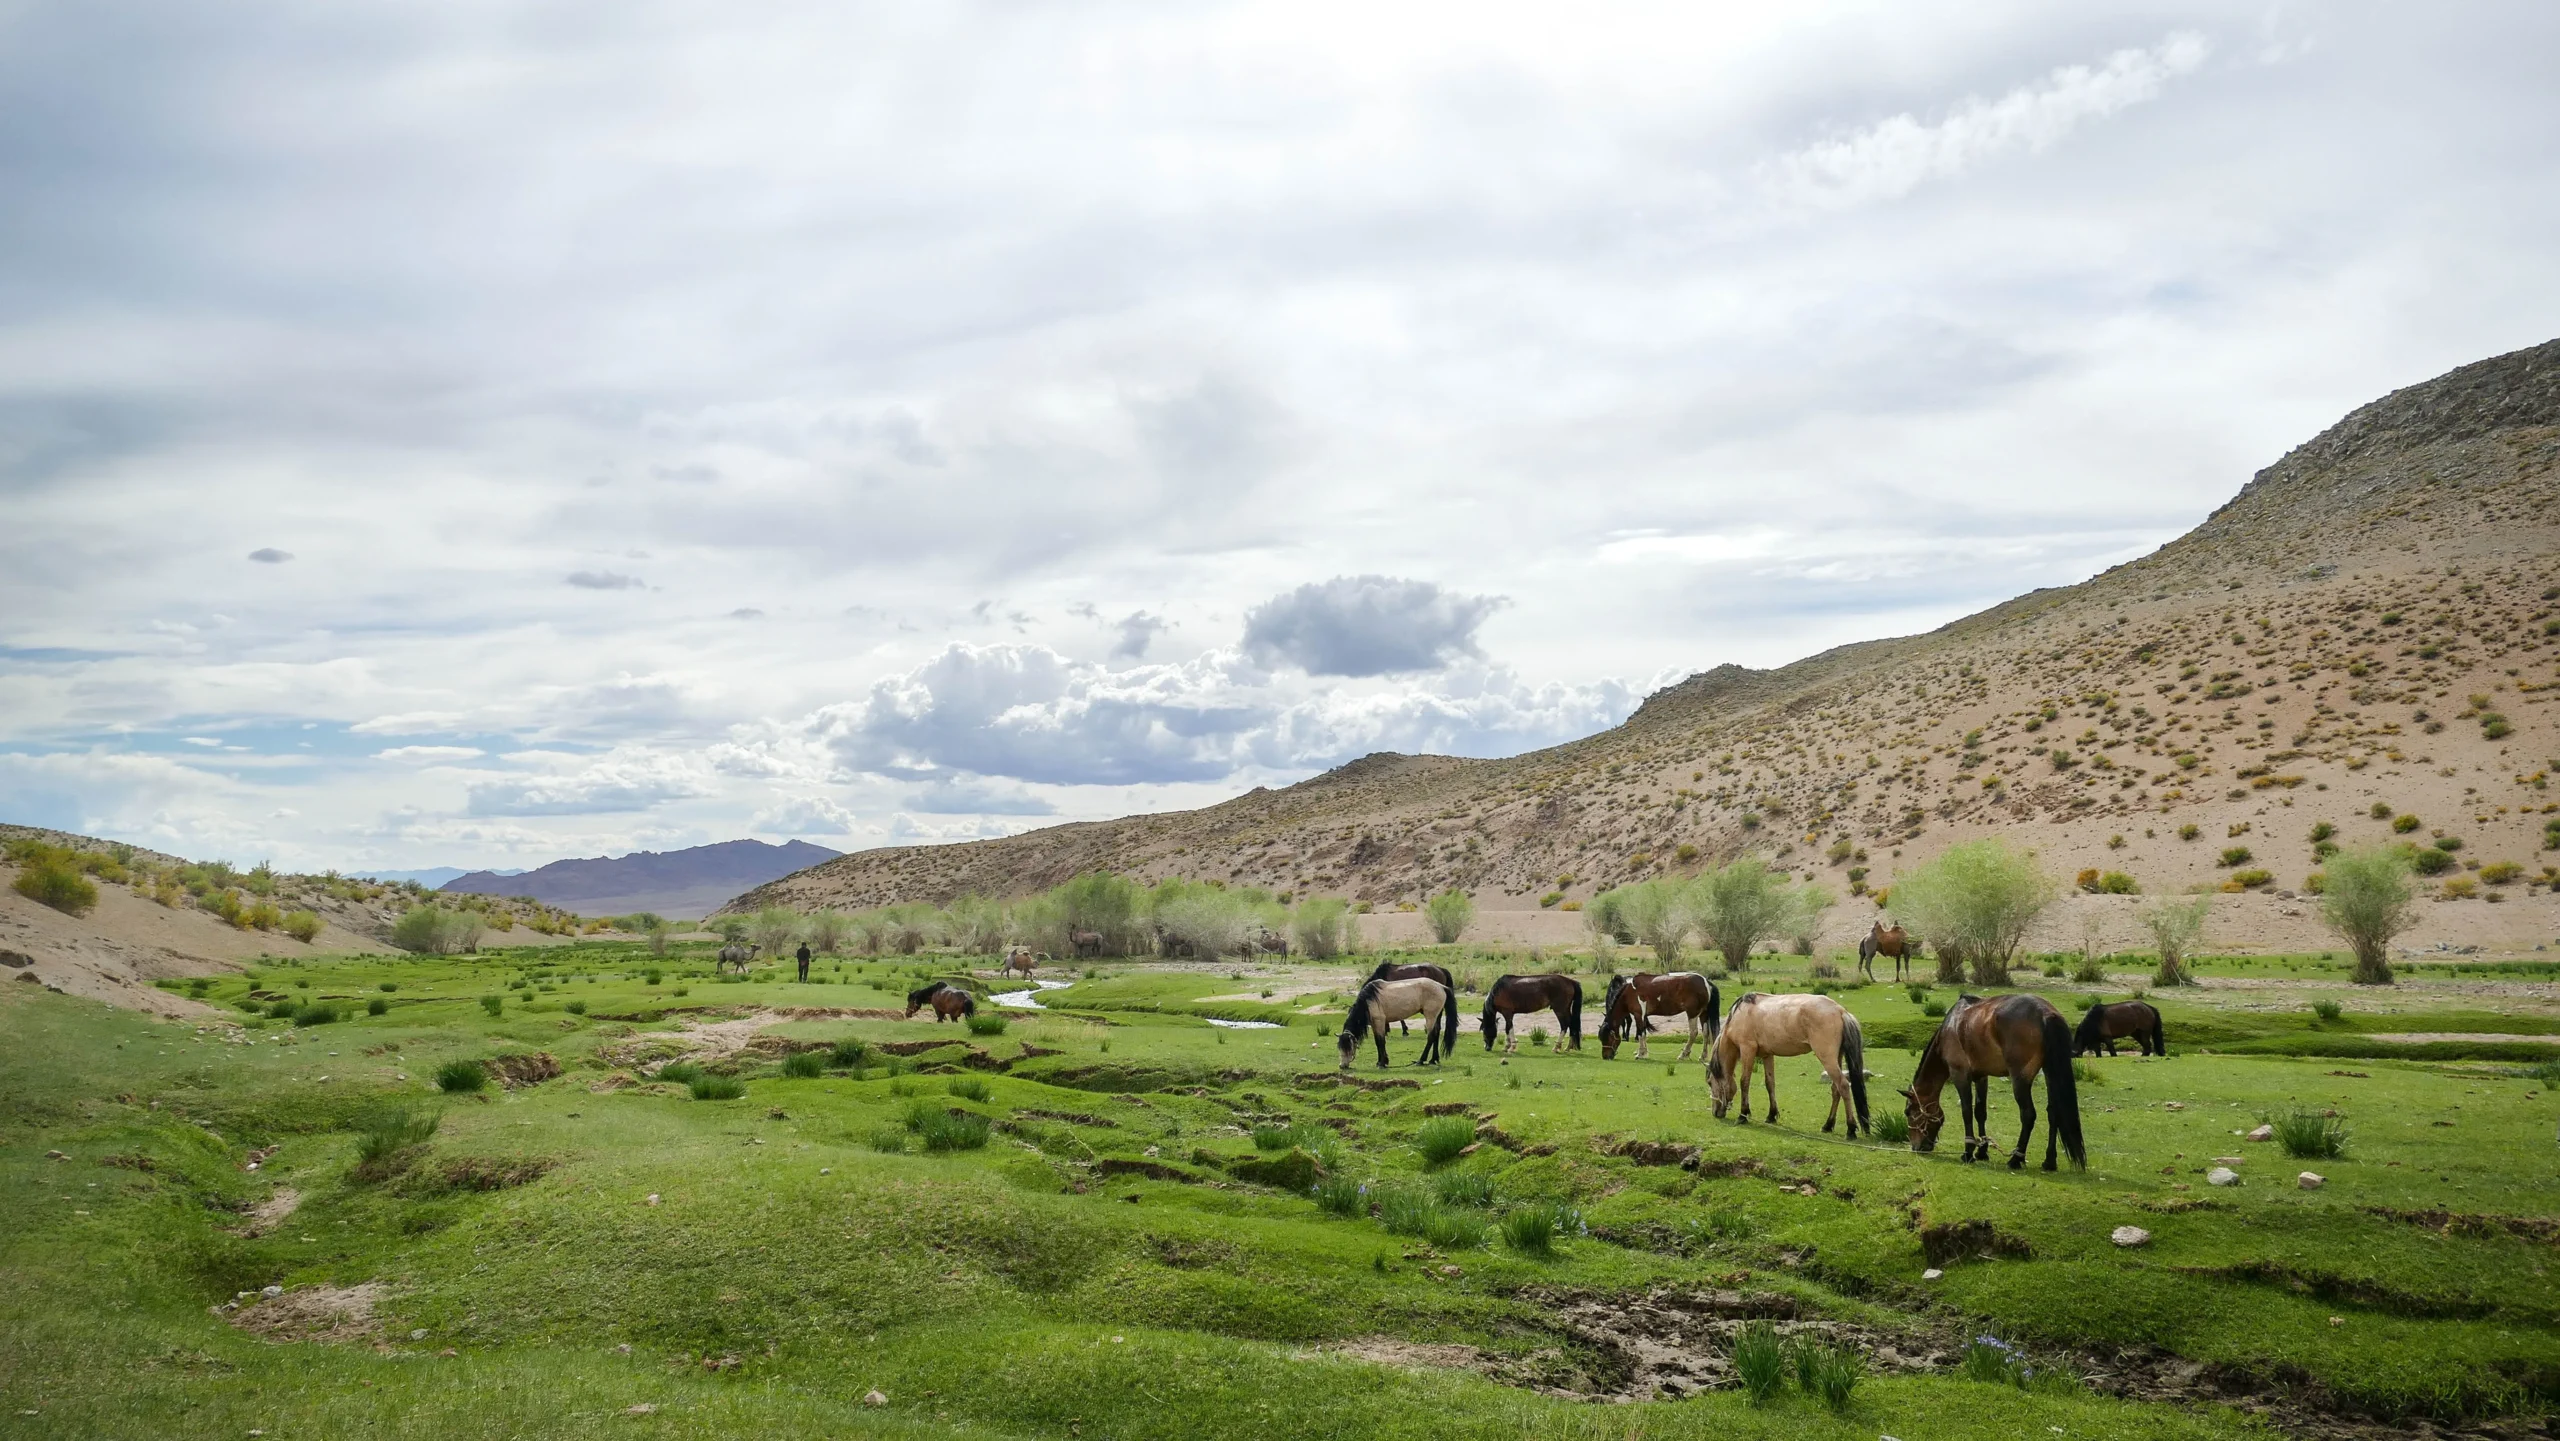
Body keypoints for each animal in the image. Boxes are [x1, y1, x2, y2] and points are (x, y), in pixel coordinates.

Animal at [1706, 992, 1869, 1136]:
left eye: (1710, 1082)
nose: (1715, 1113)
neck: (1740, 1016)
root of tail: (1840, 1011)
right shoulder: (1767, 1055)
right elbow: (1770, 1084)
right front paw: (1771, 1115)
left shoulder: (1747, 1050)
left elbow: (1744, 1082)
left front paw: (1743, 1115)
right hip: (1836, 1058)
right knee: (1836, 1089)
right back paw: (1828, 1125)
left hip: (1827, 1058)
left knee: (1843, 1086)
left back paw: (1851, 1129)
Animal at [1902, 993, 2085, 1171]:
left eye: (1908, 1112)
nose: (1916, 1147)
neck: (1950, 1027)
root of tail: (2045, 1013)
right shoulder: (1981, 1077)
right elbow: (1980, 1112)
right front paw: (1982, 1150)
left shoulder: (1959, 1075)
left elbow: (1967, 1111)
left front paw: (1968, 1152)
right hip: (2049, 1072)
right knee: (2053, 1113)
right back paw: (2049, 1161)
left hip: (2020, 1080)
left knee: (2028, 1114)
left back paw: (2016, 1159)